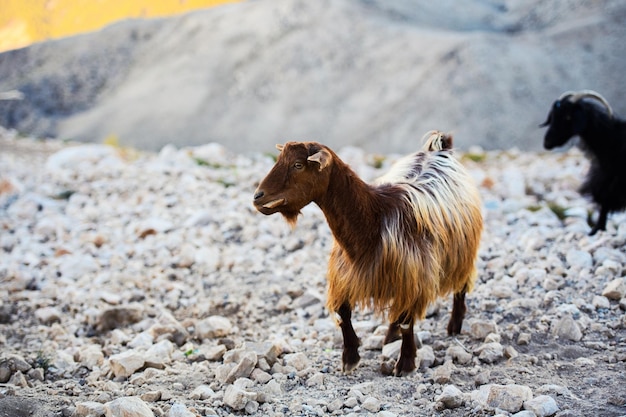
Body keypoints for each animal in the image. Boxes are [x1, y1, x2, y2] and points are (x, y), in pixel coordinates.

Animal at [251, 132, 480, 376]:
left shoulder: (413, 275)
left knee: (460, 287)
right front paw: (350, 357)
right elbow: (343, 313)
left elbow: (407, 321)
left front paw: (406, 363)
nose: (258, 197)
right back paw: (390, 336)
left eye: (298, 165)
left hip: (462, 252)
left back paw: (454, 325)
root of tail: (439, 149)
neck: (373, 219)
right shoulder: (347, 275)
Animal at [536, 90, 624, 234]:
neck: (613, 138)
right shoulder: (604, 178)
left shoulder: (613, 180)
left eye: (568, 117)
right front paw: (596, 230)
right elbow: (604, 200)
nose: (547, 142)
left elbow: (606, 200)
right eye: (552, 116)